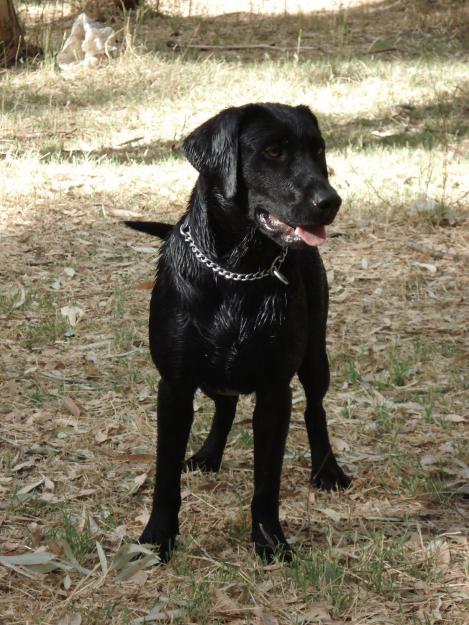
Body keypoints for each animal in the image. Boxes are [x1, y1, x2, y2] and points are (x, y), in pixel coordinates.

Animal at [126, 102, 350, 560]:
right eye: (273, 151)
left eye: (319, 150)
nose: (330, 201)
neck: (237, 271)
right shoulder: (174, 386)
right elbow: (165, 475)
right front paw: (158, 536)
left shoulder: (275, 391)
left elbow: (267, 481)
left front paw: (270, 540)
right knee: (225, 405)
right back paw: (208, 455)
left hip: (315, 357)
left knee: (315, 408)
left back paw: (328, 470)